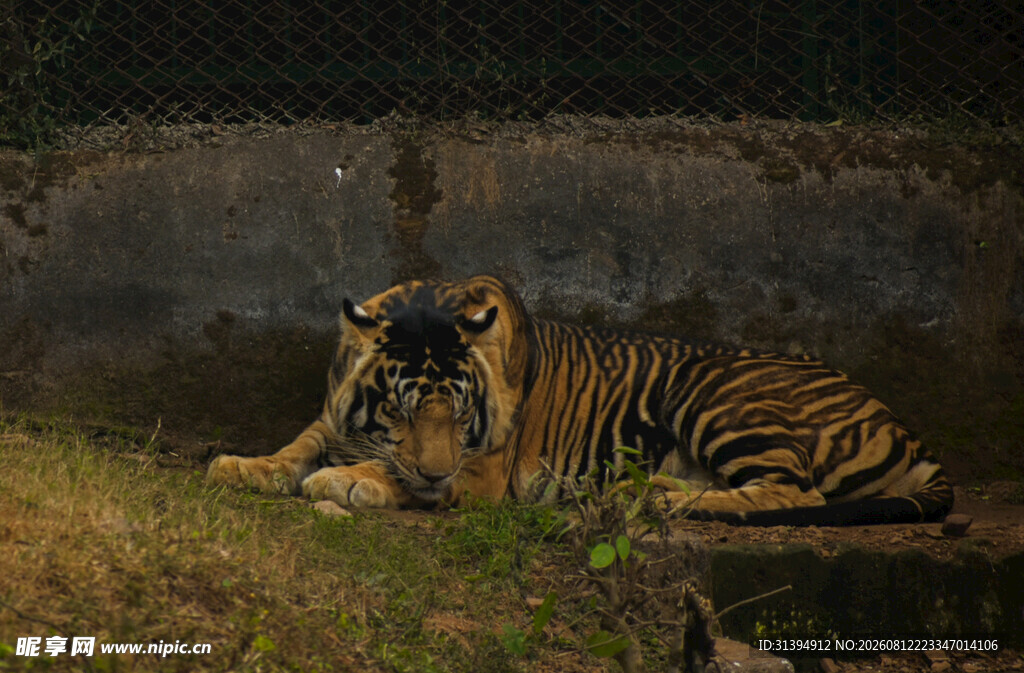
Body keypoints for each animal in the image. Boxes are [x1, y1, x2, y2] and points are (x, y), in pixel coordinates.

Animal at [206, 275, 953, 526]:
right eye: (400, 407)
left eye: (458, 411)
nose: (437, 468)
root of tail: (906, 429)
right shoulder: (334, 418)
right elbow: (299, 444)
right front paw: (244, 466)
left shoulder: (479, 472)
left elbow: (398, 476)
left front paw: (349, 480)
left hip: (716, 395)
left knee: (797, 492)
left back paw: (661, 501)